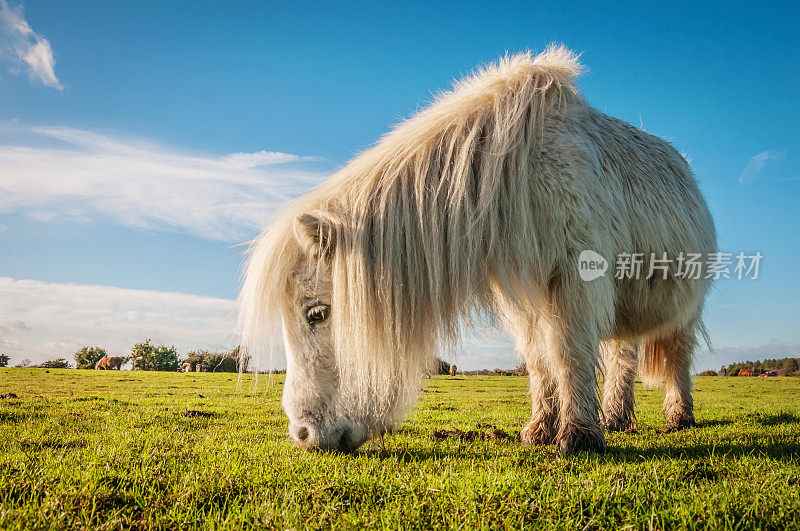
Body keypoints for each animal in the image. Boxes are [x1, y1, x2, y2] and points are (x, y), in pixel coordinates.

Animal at [236, 45, 712, 456]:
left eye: (317, 313)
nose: (302, 434)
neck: (515, 173)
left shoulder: (574, 279)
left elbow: (570, 350)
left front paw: (578, 437)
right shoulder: (521, 296)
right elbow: (540, 358)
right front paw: (541, 430)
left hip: (685, 310)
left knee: (678, 356)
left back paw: (677, 417)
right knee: (621, 355)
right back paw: (616, 418)